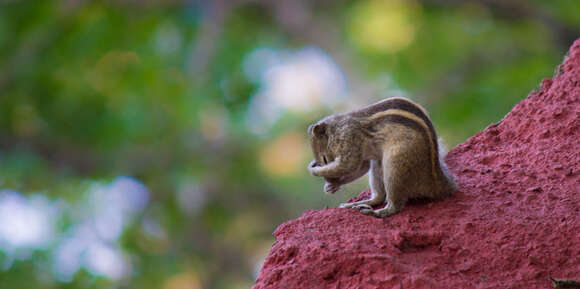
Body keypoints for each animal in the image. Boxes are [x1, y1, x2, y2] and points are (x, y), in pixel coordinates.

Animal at [308, 96, 458, 216]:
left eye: (325, 159)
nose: (331, 181)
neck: (337, 127)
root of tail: (437, 183)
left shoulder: (349, 137)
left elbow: (349, 164)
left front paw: (315, 170)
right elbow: (360, 167)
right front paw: (332, 186)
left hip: (395, 168)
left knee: (395, 205)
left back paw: (377, 212)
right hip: (378, 165)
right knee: (379, 197)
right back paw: (358, 204)